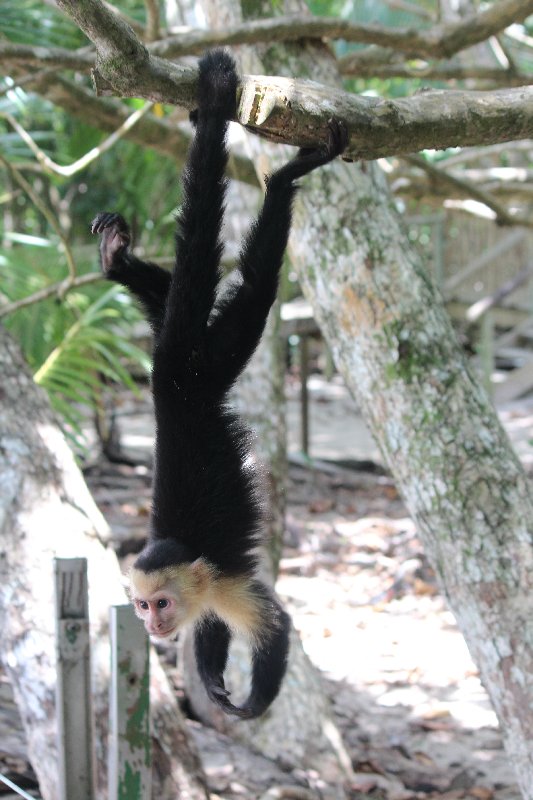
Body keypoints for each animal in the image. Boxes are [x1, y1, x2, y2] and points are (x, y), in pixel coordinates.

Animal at [91, 51, 348, 724]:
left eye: (157, 604)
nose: (152, 626)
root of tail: (174, 394)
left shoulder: (228, 585)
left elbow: (276, 627)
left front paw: (249, 704)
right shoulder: (206, 598)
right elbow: (209, 632)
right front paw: (210, 676)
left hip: (194, 365)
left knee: (241, 288)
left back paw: (274, 168)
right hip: (195, 365)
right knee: (172, 307)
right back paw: (120, 262)